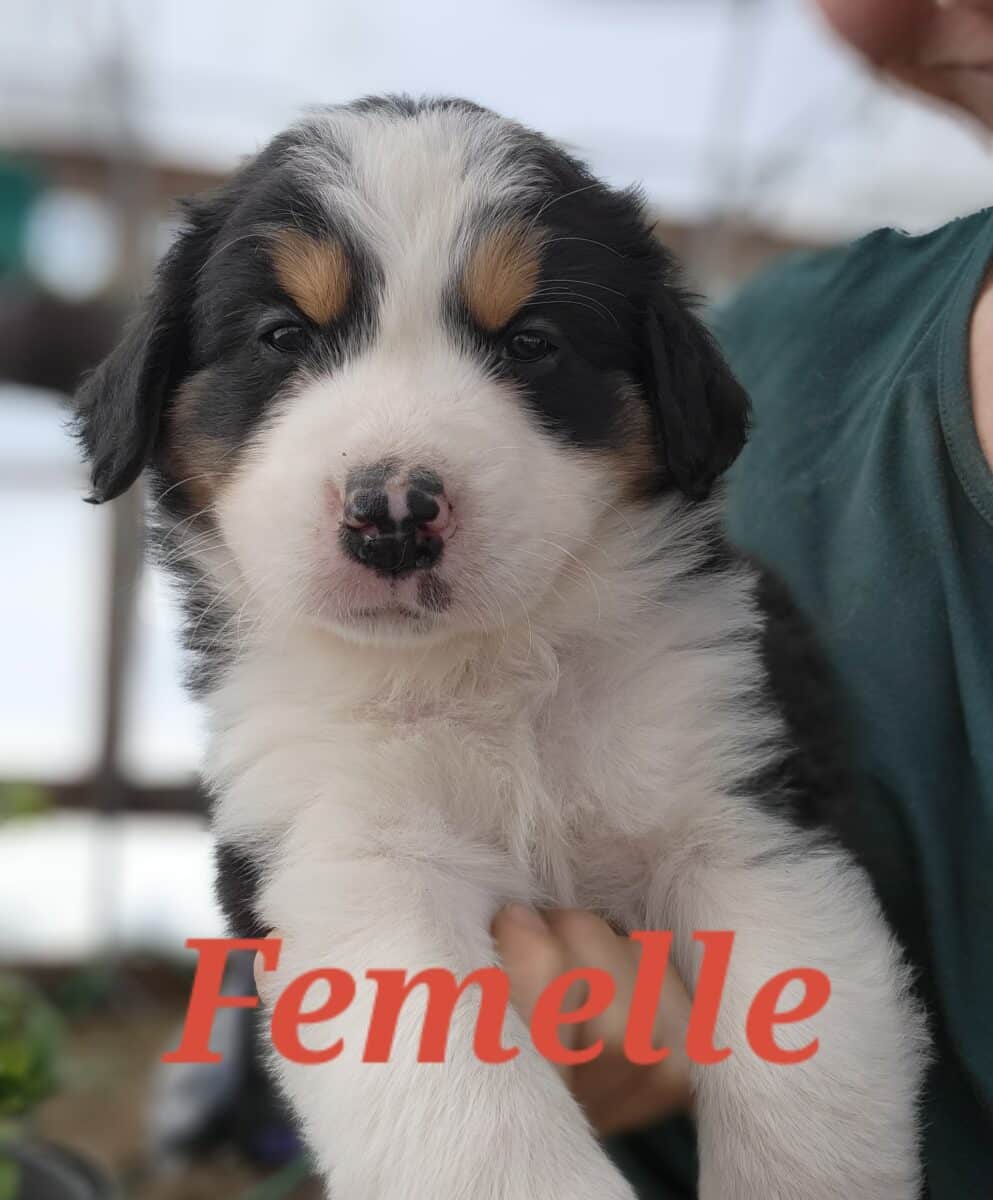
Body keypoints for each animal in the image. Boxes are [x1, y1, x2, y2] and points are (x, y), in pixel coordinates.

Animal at [73, 96, 925, 1200]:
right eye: (282, 336)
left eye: (529, 341)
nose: (393, 514)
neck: (483, 668)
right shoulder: (347, 859)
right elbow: (474, 1123)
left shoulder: (745, 812)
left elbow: (808, 1096)